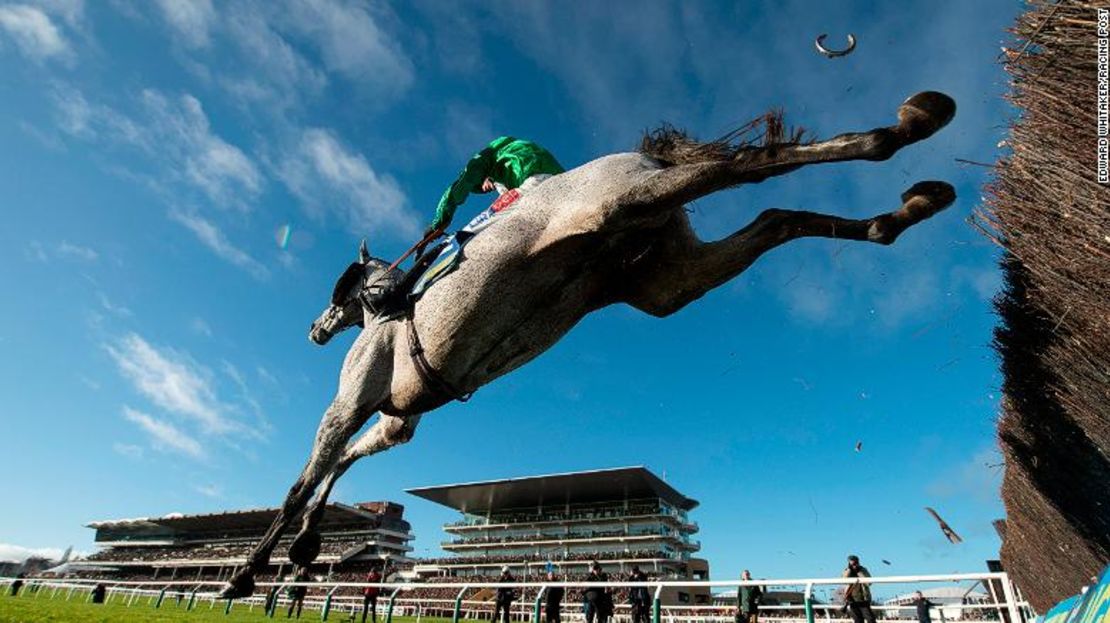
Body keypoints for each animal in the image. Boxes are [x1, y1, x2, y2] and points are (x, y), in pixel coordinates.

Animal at [223, 92, 954, 599]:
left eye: (338, 291)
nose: (315, 329)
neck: (390, 304)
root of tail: (636, 158)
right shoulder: (399, 416)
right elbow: (346, 460)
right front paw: (303, 549)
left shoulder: (352, 397)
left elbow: (308, 473)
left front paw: (251, 568)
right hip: (666, 280)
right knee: (776, 216)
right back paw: (905, 206)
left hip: (622, 203)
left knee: (754, 165)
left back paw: (905, 129)